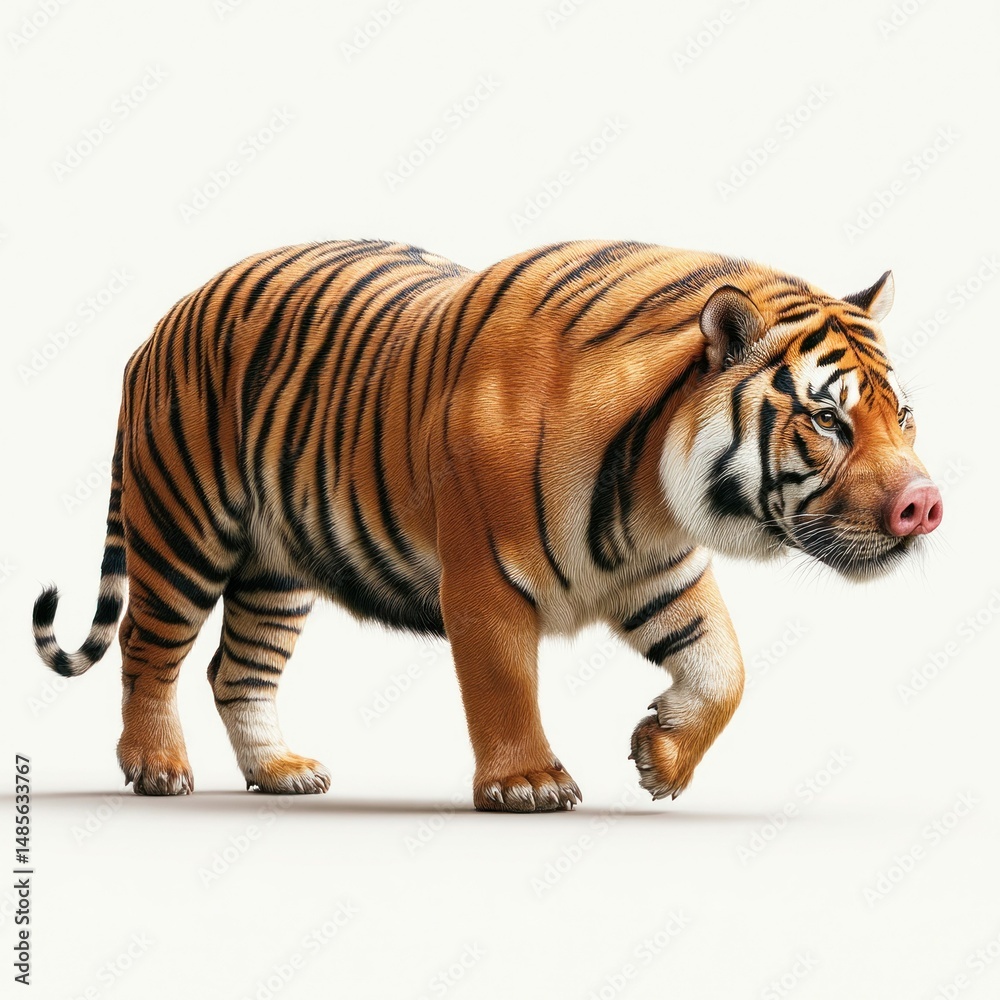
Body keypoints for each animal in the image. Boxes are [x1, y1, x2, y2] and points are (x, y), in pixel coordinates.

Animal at [31, 239, 943, 811]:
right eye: (827, 420)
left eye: (903, 417)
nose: (926, 504)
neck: (650, 487)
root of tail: (161, 324)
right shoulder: (486, 583)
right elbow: (504, 687)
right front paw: (528, 785)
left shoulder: (664, 573)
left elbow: (725, 669)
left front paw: (662, 758)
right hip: (182, 533)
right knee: (150, 651)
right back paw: (155, 767)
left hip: (274, 570)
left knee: (238, 668)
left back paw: (281, 772)